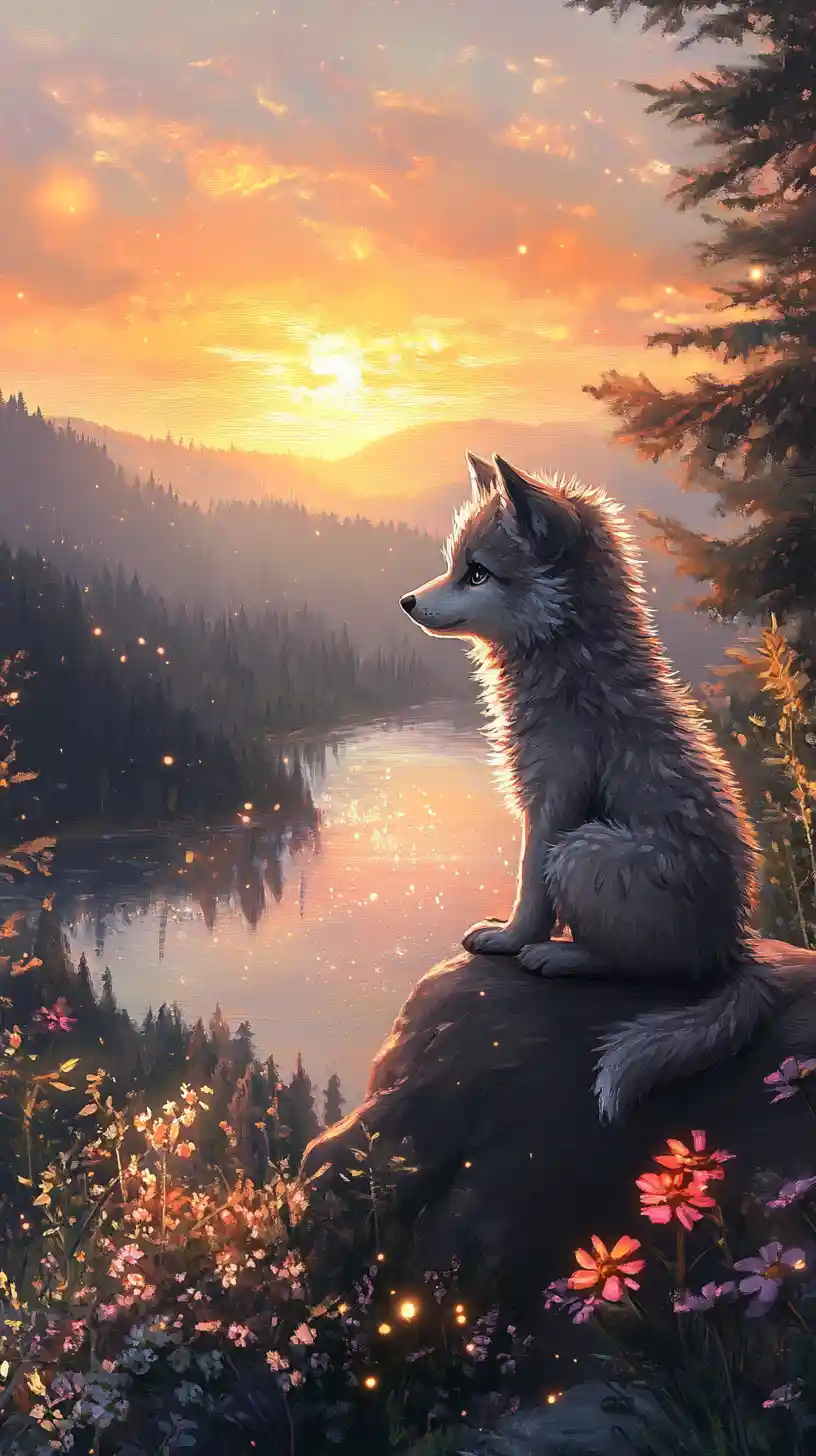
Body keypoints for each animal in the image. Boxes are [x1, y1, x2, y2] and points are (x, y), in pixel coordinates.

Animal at [398, 451, 783, 1123]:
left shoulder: (552, 804)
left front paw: (510, 940)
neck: (567, 659)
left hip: (583, 852)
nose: (406, 601)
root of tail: (735, 948)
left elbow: (530, 890)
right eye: (455, 565)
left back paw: (561, 955)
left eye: (477, 573)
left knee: (648, 970)